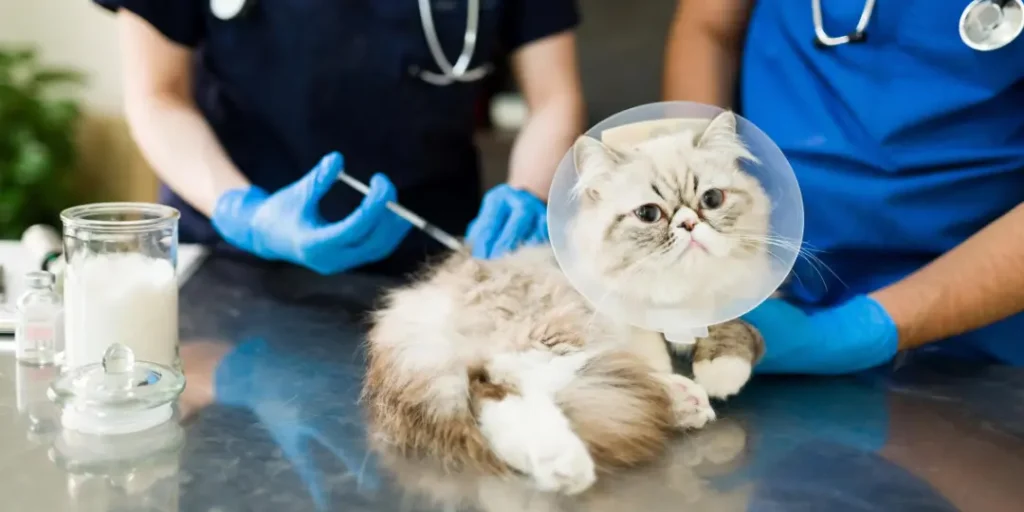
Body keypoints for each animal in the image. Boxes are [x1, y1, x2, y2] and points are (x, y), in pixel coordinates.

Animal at [360, 109, 770, 495]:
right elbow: (656, 353)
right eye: (649, 214)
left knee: (491, 397)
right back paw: (573, 462)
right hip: (550, 336)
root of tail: (414, 306)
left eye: (711, 200)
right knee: (509, 384)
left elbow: (735, 328)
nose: (688, 224)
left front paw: (718, 367)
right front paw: (715, 375)